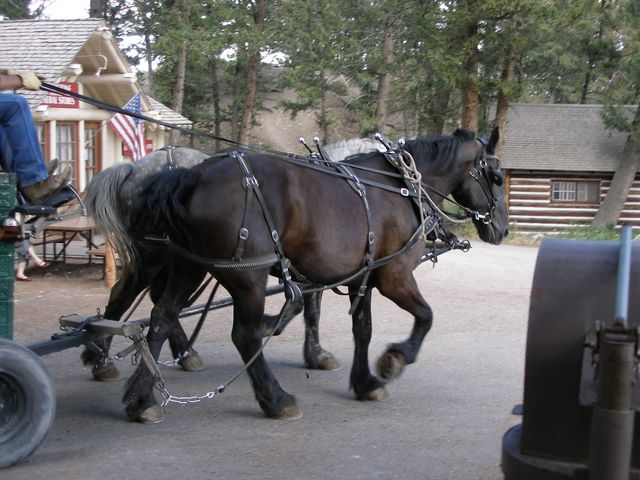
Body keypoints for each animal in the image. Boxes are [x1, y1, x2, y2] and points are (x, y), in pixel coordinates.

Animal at [102, 128, 510, 424]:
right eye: (497, 175)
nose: (502, 229)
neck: (399, 184)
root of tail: (192, 176)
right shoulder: (394, 276)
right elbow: (426, 316)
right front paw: (393, 360)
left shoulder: (361, 276)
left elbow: (362, 329)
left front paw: (364, 382)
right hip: (246, 278)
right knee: (242, 336)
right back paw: (275, 398)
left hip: (188, 266)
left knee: (160, 318)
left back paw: (141, 397)